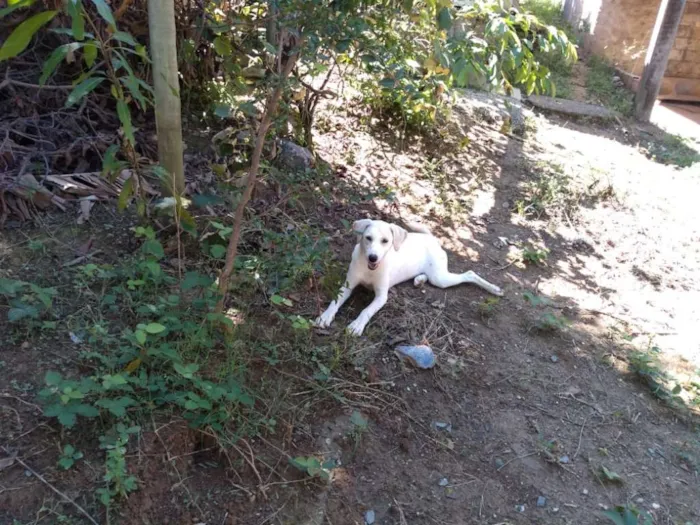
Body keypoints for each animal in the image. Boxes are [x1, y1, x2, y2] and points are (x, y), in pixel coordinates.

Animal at [316, 218, 504, 336]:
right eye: (368, 238)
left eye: (385, 241)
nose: (373, 257)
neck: (371, 270)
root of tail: (431, 238)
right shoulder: (347, 285)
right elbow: (334, 302)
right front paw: (325, 317)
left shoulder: (382, 296)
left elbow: (366, 310)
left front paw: (356, 325)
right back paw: (419, 280)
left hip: (440, 278)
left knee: (469, 274)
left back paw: (494, 289)